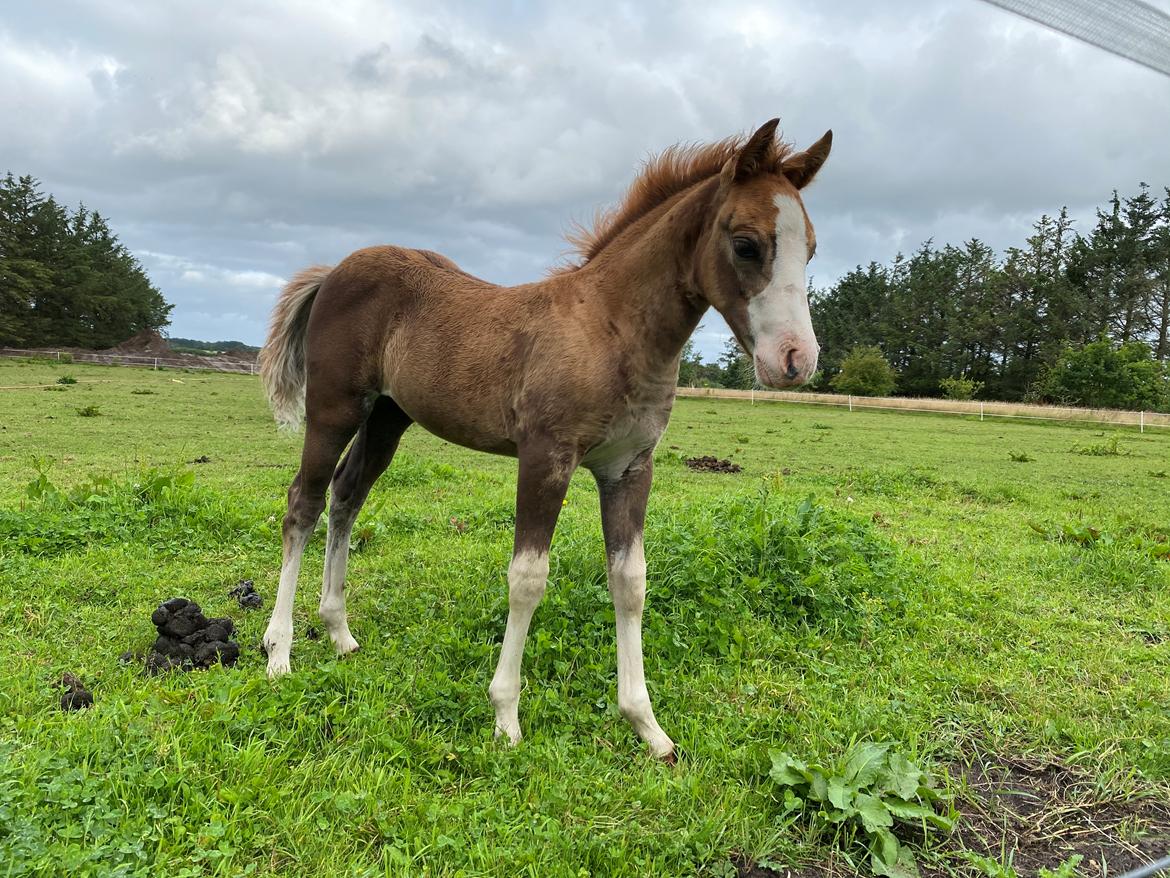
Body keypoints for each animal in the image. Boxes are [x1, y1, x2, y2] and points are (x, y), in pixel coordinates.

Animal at [260, 118, 833, 763]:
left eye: (811, 249)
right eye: (746, 244)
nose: (796, 360)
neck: (611, 329)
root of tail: (334, 270)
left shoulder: (629, 468)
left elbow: (630, 582)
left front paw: (646, 725)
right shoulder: (545, 458)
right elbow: (528, 578)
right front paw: (505, 716)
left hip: (387, 417)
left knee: (347, 496)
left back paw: (339, 631)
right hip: (333, 411)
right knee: (304, 504)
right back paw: (279, 651)